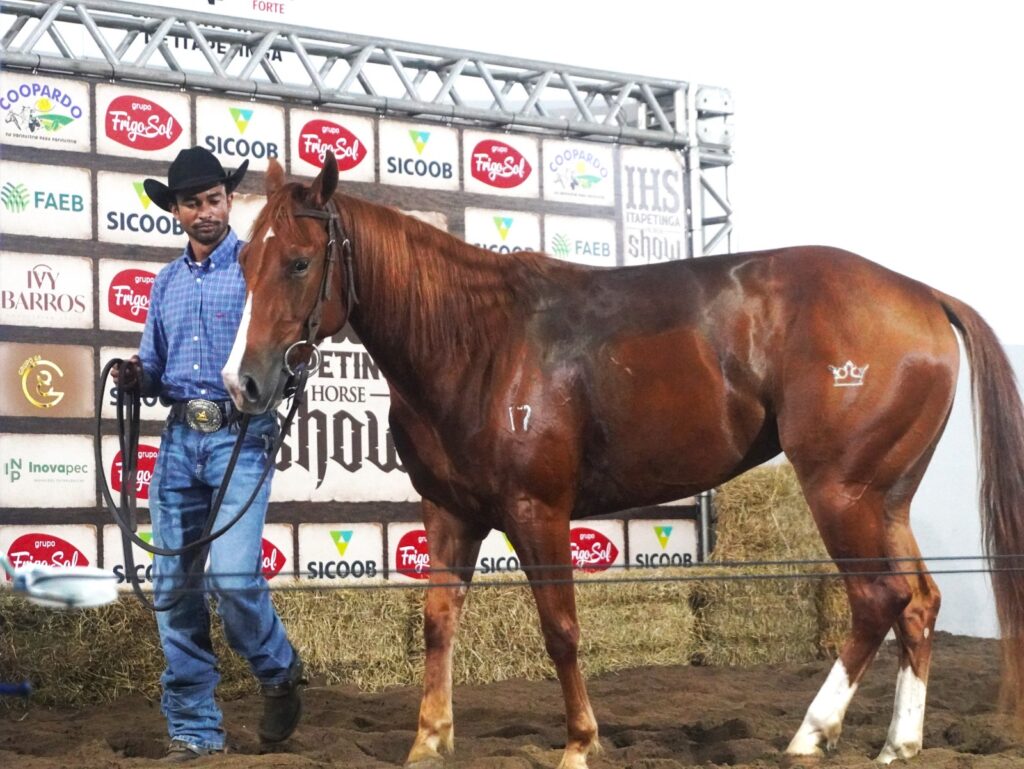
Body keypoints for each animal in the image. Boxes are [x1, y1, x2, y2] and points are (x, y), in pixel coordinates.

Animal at [223, 153, 1024, 768]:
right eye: (244, 258)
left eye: (299, 261)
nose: (244, 382)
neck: (478, 340)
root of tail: (922, 295)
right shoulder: (449, 513)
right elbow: (439, 620)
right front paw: (428, 740)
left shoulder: (537, 511)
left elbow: (561, 629)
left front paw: (580, 742)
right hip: (885, 496)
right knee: (918, 602)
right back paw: (899, 743)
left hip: (840, 491)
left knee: (875, 600)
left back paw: (810, 734)